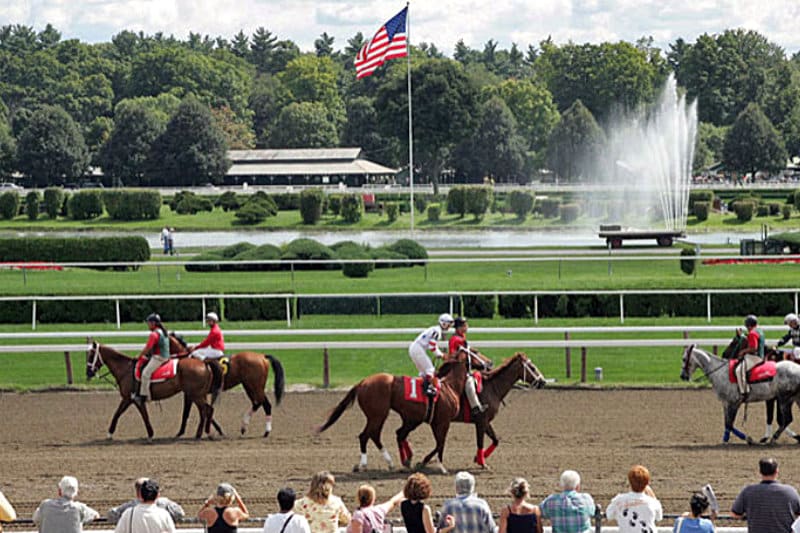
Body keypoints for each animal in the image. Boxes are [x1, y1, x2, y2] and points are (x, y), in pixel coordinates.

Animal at [86, 338, 223, 438]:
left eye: (91, 354)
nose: (88, 372)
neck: (126, 369)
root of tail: (203, 362)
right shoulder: (131, 399)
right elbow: (125, 414)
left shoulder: (131, 399)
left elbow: (124, 414)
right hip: (197, 394)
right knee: (205, 411)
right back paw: (204, 432)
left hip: (196, 395)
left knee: (207, 410)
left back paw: (203, 433)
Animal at [316, 358, 472, 474]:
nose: (484, 364)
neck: (449, 386)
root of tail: (362, 383)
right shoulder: (442, 421)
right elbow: (440, 443)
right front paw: (440, 467)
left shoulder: (421, 420)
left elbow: (434, 442)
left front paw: (414, 461)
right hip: (378, 415)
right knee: (366, 435)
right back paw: (364, 464)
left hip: (378, 416)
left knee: (373, 435)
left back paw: (389, 463)